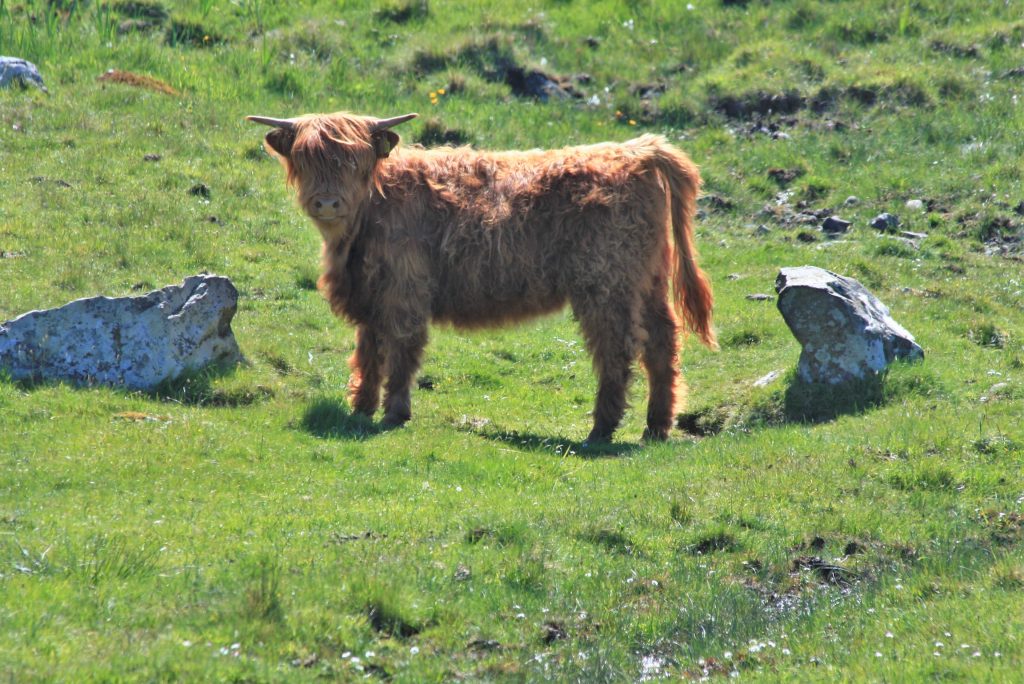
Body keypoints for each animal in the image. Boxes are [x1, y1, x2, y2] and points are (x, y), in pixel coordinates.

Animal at [247, 110, 716, 443]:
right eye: (305, 159)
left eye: (353, 161)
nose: (327, 202)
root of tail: (637, 150)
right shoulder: (371, 294)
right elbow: (368, 350)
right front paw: (360, 407)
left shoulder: (405, 290)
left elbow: (400, 349)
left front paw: (395, 412)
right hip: (647, 280)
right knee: (662, 342)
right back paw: (656, 426)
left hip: (606, 284)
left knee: (617, 349)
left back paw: (601, 430)